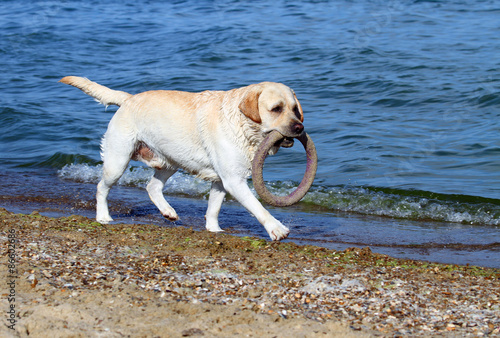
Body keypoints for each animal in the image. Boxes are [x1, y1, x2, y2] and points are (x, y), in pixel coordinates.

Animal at [59, 76, 304, 240]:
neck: (243, 125)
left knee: (152, 187)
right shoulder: (234, 181)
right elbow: (257, 207)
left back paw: (167, 211)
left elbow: (213, 207)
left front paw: (214, 229)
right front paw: (276, 228)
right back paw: (103, 216)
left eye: (295, 109)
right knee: (101, 187)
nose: (299, 127)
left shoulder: (222, 180)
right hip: (117, 161)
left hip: (170, 161)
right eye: (276, 109)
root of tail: (129, 98)